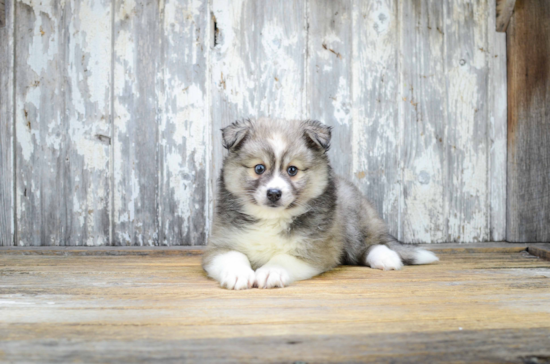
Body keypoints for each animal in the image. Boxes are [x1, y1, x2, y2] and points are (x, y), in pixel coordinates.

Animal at [203, 119, 440, 290]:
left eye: (292, 170)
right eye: (259, 168)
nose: (274, 193)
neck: (272, 219)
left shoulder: (313, 249)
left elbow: (283, 257)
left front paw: (271, 272)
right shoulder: (220, 243)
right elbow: (233, 255)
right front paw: (238, 273)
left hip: (353, 218)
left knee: (371, 244)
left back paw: (386, 257)